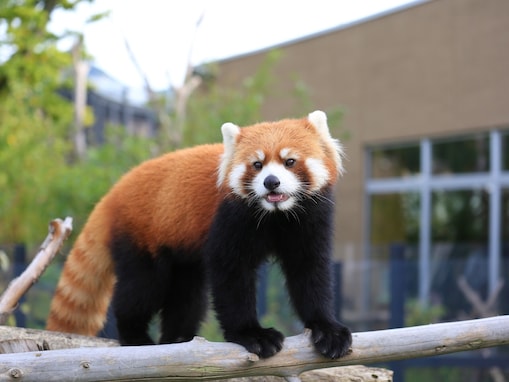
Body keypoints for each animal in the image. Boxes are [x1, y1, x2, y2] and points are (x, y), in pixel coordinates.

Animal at [46, 109, 350, 358]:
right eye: (257, 165)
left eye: (289, 161)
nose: (271, 182)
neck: (276, 215)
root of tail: (113, 194)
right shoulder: (229, 219)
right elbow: (231, 276)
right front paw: (251, 334)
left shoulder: (311, 220)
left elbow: (310, 272)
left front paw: (327, 329)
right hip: (141, 236)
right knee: (140, 289)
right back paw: (135, 336)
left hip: (182, 253)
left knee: (188, 296)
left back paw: (178, 338)